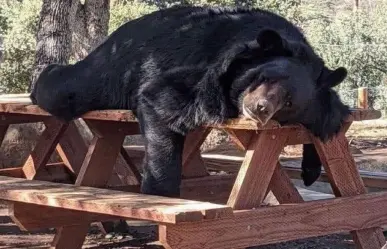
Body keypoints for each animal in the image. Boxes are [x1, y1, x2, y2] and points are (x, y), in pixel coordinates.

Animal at [31, 5, 352, 196]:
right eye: (263, 77)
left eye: (288, 103)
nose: (259, 108)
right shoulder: (206, 72)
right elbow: (162, 99)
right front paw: (160, 192)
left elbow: (330, 116)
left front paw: (311, 169)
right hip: (112, 68)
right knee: (67, 88)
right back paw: (42, 78)